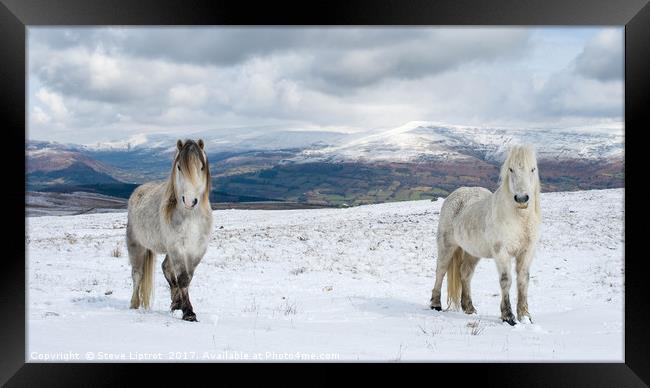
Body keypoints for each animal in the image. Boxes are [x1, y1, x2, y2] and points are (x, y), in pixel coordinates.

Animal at [428, 145, 540, 324]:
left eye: (533, 169)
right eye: (511, 169)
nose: (522, 199)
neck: (519, 219)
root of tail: (456, 194)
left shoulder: (527, 252)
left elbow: (523, 281)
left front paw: (525, 316)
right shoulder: (502, 253)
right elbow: (506, 280)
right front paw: (508, 316)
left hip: (472, 253)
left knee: (465, 274)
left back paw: (469, 308)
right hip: (447, 246)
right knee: (441, 271)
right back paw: (436, 304)